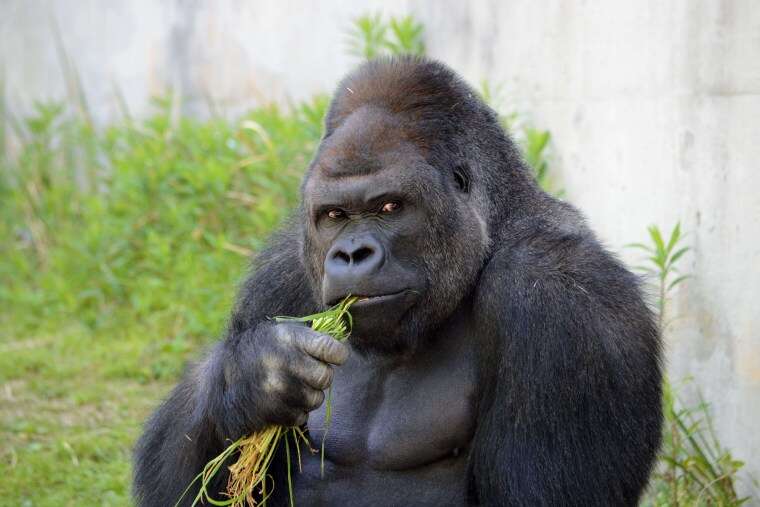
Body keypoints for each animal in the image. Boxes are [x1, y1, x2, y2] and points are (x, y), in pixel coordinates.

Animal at [134, 57, 664, 506]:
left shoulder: (560, 303)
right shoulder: (281, 272)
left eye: (389, 206)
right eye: (334, 215)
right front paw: (253, 377)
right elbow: (184, 491)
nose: (351, 254)